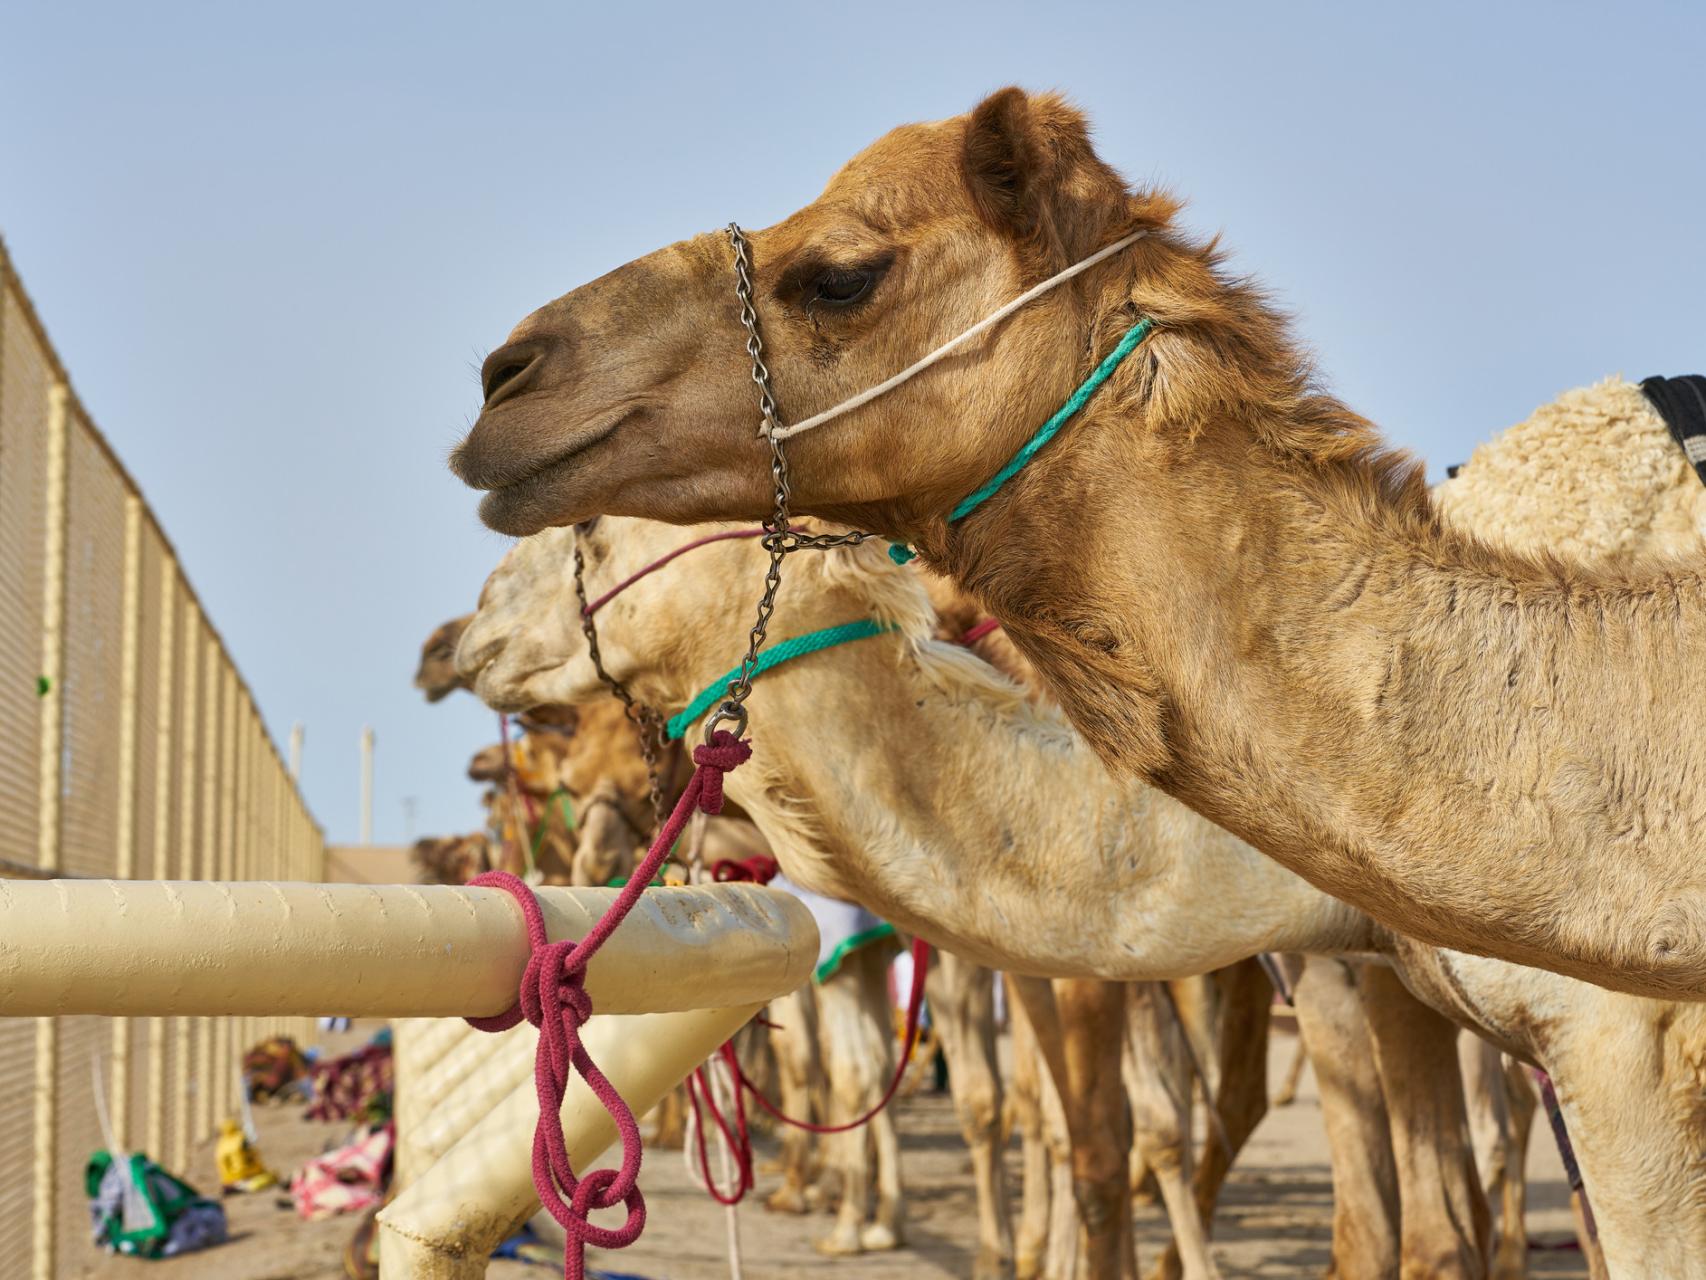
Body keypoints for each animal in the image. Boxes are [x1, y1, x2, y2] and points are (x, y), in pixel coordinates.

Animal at [460, 515, 1706, 1276]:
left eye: (590, 529)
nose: (459, 637)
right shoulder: (1394, 973)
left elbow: (1078, 1123)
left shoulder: (1617, 1041)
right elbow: (1411, 1232)